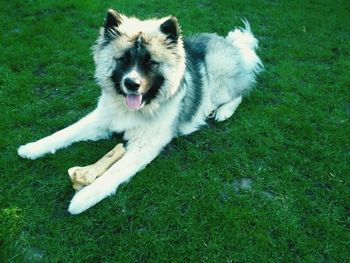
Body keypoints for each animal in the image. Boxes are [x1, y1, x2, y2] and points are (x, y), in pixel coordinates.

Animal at [17, 9, 262, 214]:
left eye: (149, 62)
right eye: (123, 59)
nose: (132, 84)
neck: (137, 108)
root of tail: (232, 44)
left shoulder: (145, 146)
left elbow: (113, 173)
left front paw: (82, 198)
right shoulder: (101, 118)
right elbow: (67, 131)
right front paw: (33, 147)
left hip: (220, 83)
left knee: (241, 92)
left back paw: (223, 112)